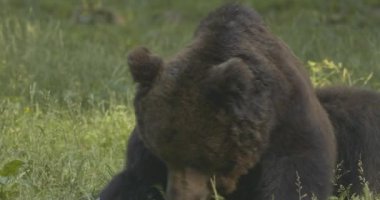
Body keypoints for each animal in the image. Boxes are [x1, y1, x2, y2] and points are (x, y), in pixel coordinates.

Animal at [101, 3, 338, 200]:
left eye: (200, 159)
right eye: (164, 155)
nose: (180, 196)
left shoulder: (289, 114)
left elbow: (296, 170)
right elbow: (133, 179)